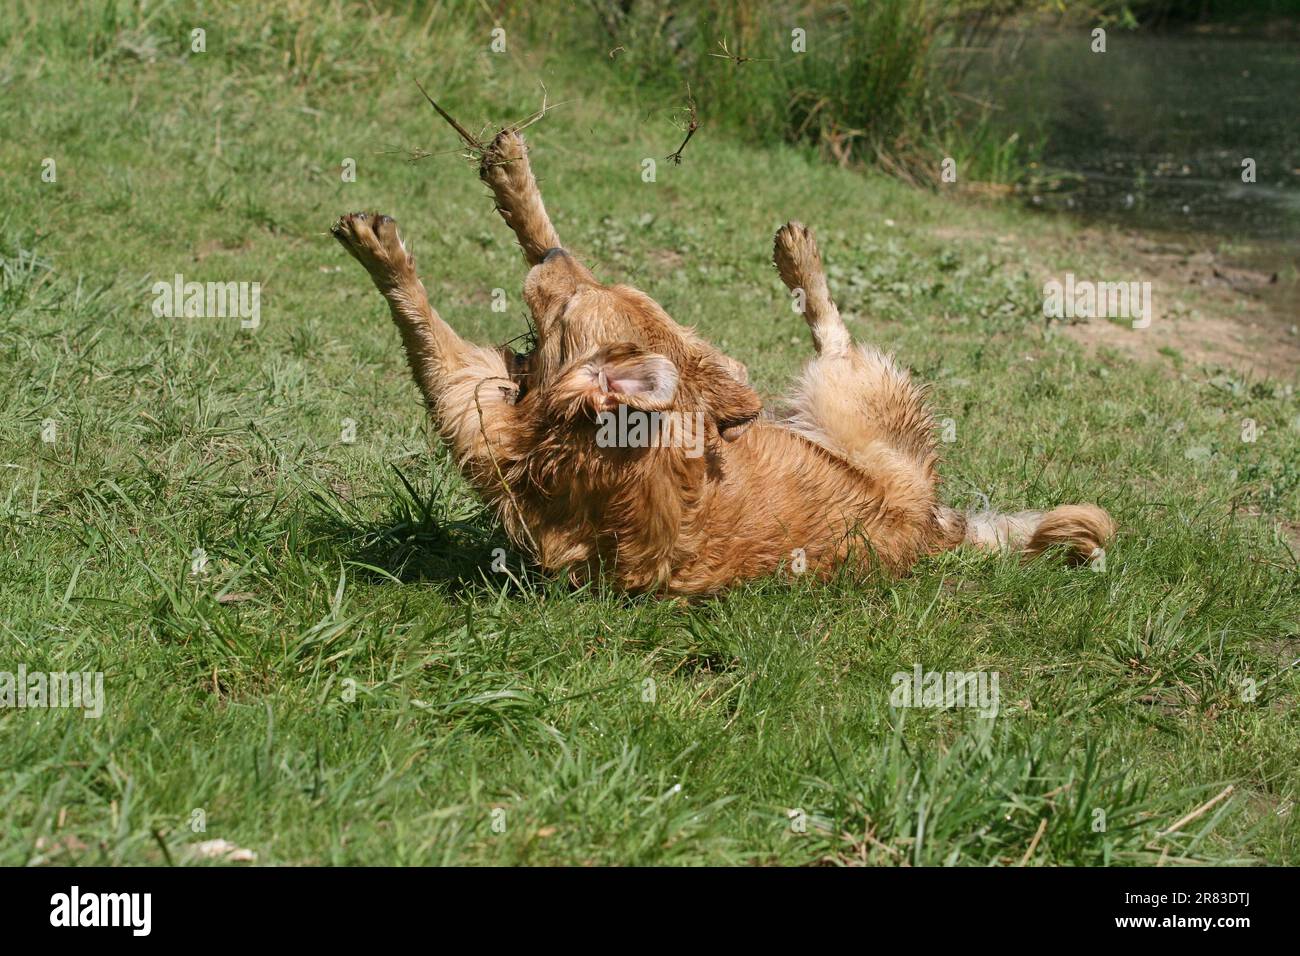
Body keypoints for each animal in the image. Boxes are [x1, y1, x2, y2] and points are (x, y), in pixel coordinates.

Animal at [330, 127, 1112, 590]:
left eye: (571, 307)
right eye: (592, 289)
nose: (555, 269)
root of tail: (935, 527)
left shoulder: (474, 410)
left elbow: (421, 317)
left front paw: (385, 255)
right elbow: (544, 231)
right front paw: (516, 184)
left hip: (842, 394)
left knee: (836, 339)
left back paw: (802, 260)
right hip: (754, 386)